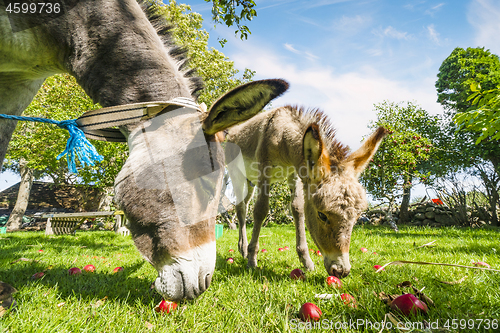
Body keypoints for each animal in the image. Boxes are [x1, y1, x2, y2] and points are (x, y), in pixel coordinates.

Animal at [226, 105, 386, 276]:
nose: (341, 271)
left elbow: (297, 209)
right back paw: (244, 249)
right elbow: (261, 210)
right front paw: (252, 259)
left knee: (244, 204)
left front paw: (306, 261)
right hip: (237, 174)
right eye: (322, 215)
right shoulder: (264, 173)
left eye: (356, 218)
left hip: (250, 181)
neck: (281, 134)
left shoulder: (295, 174)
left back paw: (242, 248)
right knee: (241, 208)